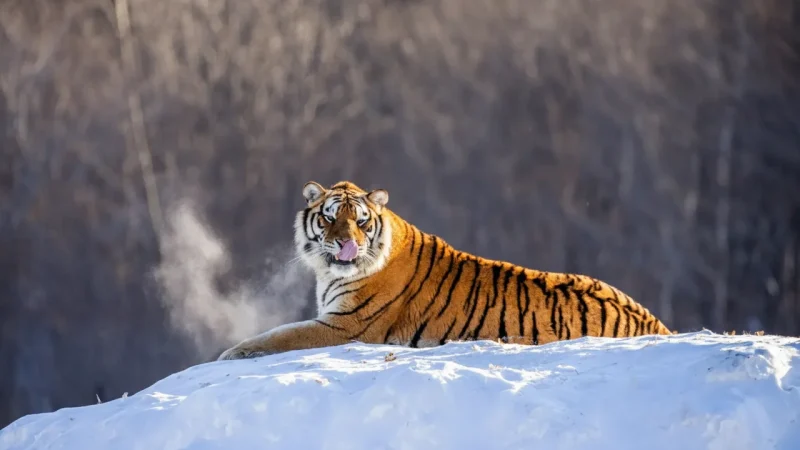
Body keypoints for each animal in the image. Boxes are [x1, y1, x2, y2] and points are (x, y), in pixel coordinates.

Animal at [217, 180, 671, 360]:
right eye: (330, 217)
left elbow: (281, 335)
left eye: (361, 221)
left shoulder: (345, 326)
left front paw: (229, 353)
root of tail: (659, 326)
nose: (348, 244)